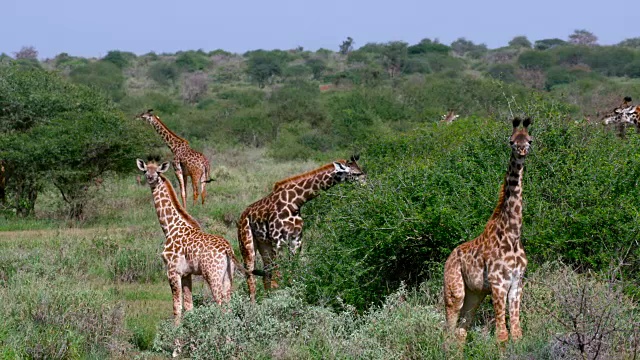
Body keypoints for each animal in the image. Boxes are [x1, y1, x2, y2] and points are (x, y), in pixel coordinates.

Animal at [136, 159, 249, 324]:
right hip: (228, 277)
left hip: (213, 275)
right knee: (228, 305)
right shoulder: (186, 273)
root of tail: (228, 250)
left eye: (157, 171)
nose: (150, 178)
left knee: (221, 305)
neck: (169, 227)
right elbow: (189, 306)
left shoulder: (172, 270)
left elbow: (177, 307)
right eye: (145, 170)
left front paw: (175, 332)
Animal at [236, 155, 364, 300]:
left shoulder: (296, 239)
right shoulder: (277, 240)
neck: (295, 202)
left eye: (360, 170)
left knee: (266, 275)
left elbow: (293, 271)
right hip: (247, 244)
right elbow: (279, 274)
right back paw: (252, 303)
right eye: (356, 173)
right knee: (250, 276)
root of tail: (241, 217)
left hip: (264, 245)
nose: (366, 183)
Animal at [442, 118, 532, 344]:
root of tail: (448, 258)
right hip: (455, 292)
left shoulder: (517, 284)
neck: (512, 235)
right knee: (447, 331)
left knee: (460, 331)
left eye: (529, 140)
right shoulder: (498, 284)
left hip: (475, 294)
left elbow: (516, 332)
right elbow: (502, 335)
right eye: (511, 141)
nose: (522, 150)